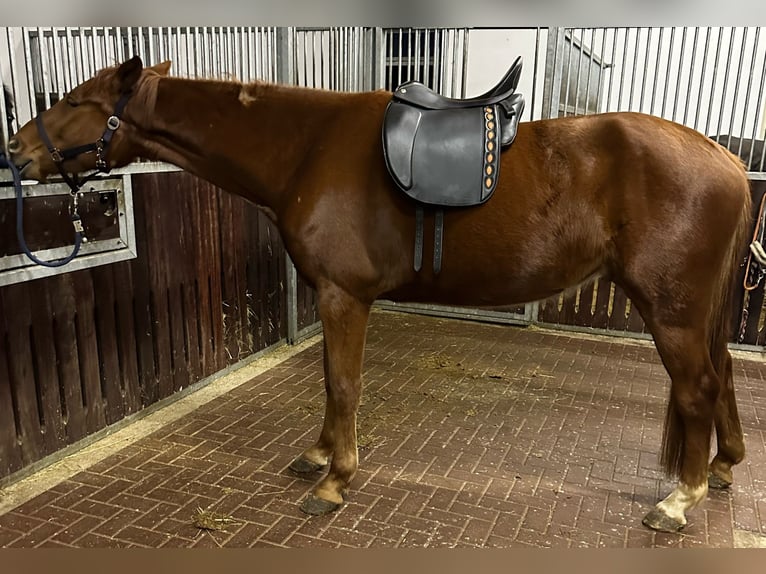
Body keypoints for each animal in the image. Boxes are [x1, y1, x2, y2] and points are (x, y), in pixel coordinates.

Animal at [5, 56, 752, 533]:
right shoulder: (331, 297)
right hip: (693, 312)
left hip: (672, 310)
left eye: (76, 102)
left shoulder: (344, 295)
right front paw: (318, 458)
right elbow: (329, 381)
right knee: (722, 380)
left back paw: (679, 501)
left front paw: (335, 480)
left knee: (697, 388)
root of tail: (727, 159)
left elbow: (343, 383)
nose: (15, 154)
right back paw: (722, 468)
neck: (305, 148)